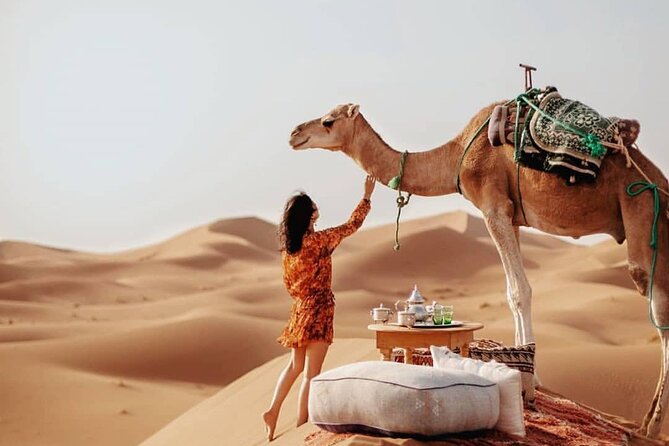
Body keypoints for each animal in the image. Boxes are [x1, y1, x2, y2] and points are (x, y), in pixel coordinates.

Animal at [288, 101, 669, 438]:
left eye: (328, 121)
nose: (294, 133)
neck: (458, 155)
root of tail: (660, 181)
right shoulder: (512, 216)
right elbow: (513, 290)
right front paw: (528, 373)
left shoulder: (493, 205)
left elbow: (519, 291)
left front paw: (531, 381)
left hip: (641, 209)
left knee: (657, 305)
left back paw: (650, 425)